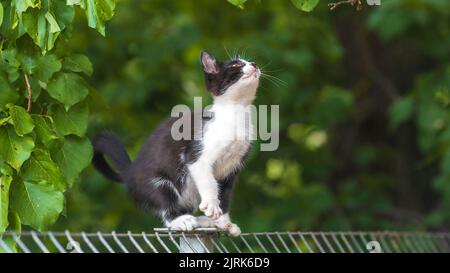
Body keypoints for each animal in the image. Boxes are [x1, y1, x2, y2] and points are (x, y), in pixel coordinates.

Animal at [92, 51, 260, 236]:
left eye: (248, 62)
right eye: (236, 65)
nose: (254, 64)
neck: (236, 113)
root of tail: (130, 172)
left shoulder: (232, 169)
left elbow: (225, 195)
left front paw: (224, 222)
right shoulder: (196, 154)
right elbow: (209, 182)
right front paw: (212, 206)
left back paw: (203, 221)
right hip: (157, 183)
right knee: (165, 205)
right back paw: (180, 220)